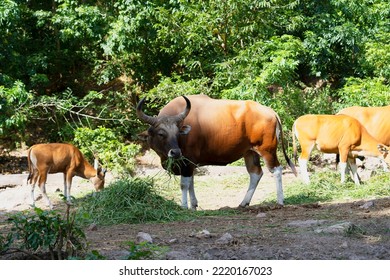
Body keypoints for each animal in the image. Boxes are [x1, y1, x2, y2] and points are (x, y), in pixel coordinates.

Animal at [136, 95, 296, 209]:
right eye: (161, 133)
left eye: (177, 133)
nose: (175, 152)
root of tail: (271, 112)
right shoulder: (190, 163)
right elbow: (191, 183)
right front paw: (193, 205)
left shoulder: (187, 162)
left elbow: (184, 184)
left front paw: (184, 206)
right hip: (250, 152)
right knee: (256, 173)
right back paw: (243, 203)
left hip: (267, 150)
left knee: (276, 170)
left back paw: (280, 202)